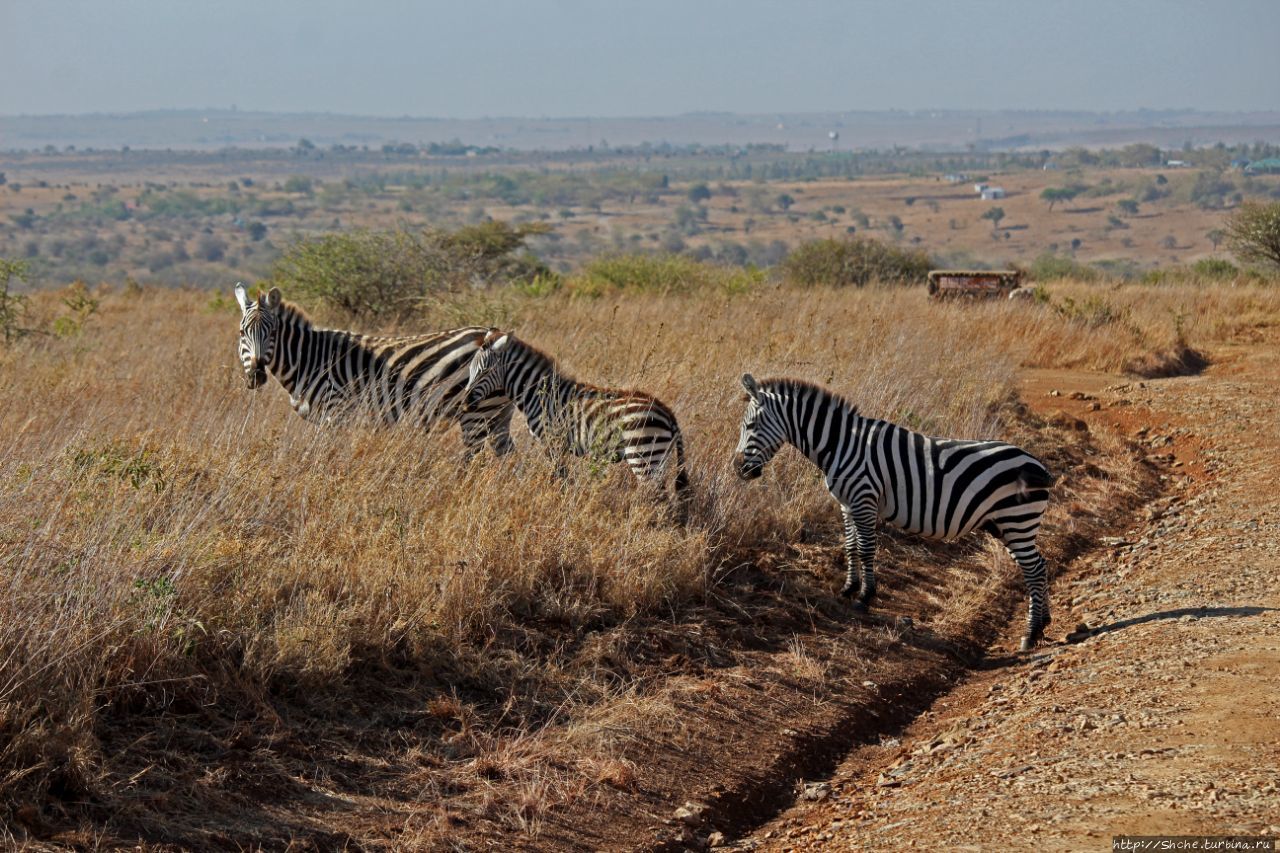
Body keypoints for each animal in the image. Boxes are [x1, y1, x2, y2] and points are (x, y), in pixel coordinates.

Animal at [232, 281, 512, 455]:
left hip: (476, 412)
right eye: (242, 333)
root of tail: (492, 334)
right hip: (497, 412)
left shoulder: (335, 412)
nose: (256, 375)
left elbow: (326, 455)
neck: (309, 360)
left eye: (273, 333)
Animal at [460, 330, 691, 517]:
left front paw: (558, 506)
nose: (465, 404)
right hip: (657, 459)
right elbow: (564, 478)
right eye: (470, 371)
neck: (540, 394)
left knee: (659, 499)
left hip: (643, 456)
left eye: (484, 372)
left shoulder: (552, 441)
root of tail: (668, 413)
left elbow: (559, 478)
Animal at [737, 376, 1054, 648]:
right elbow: (850, 547)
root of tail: (1036, 462)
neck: (840, 444)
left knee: (1034, 569)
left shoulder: (864, 498)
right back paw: (1043, 623)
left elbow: (866, 549)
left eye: (750, 425)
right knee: (1039, 565)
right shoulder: (847, 504)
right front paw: (848, 588)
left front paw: (864, 597)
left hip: (1017, 520)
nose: (738, 470)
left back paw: (1031, 633)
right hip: (1006, 525)